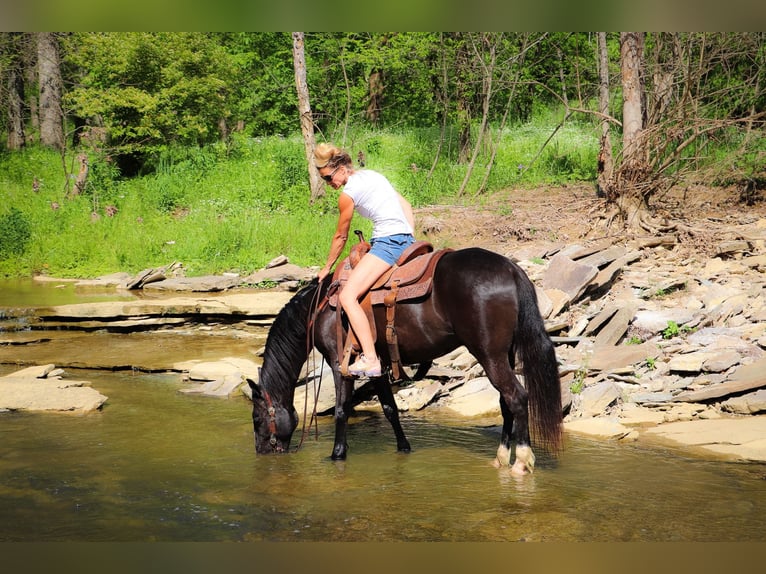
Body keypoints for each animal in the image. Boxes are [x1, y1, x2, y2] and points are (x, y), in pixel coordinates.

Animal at [250, 249, 564, 476]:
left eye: (256, 418)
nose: (261, 452)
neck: (318, 309)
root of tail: (511, 269)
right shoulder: (376, 364)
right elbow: (390, 409)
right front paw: (403, 447)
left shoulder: (340, 363)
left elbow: (341, 410)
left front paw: (338, 454)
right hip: (504, 355)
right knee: (505, 402)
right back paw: (500, 458)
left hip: (489, 355)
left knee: (517, 397)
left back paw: (521, 461)